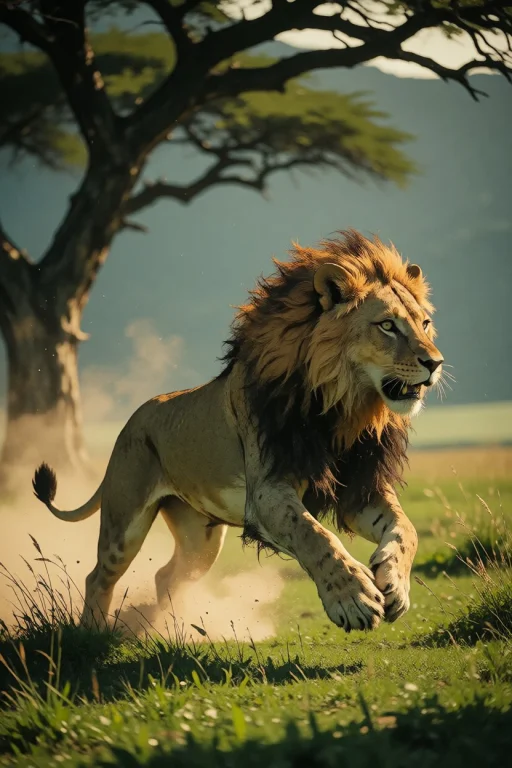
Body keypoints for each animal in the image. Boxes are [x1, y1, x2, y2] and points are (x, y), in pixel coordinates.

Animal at [33, 230, 444, 632]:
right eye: (387, 325)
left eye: (424, 324)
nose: (435, 363)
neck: (345, 408)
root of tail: (131, 421)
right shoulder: (266, 492)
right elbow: (314, 535)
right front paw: (353, 598)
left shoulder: (358, 489)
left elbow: (406, 529)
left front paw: (395, 584)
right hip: (125, 523)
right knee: (99, 577)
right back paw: (93, 637)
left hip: (200, 540)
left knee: (167, 575)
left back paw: (167, 628)